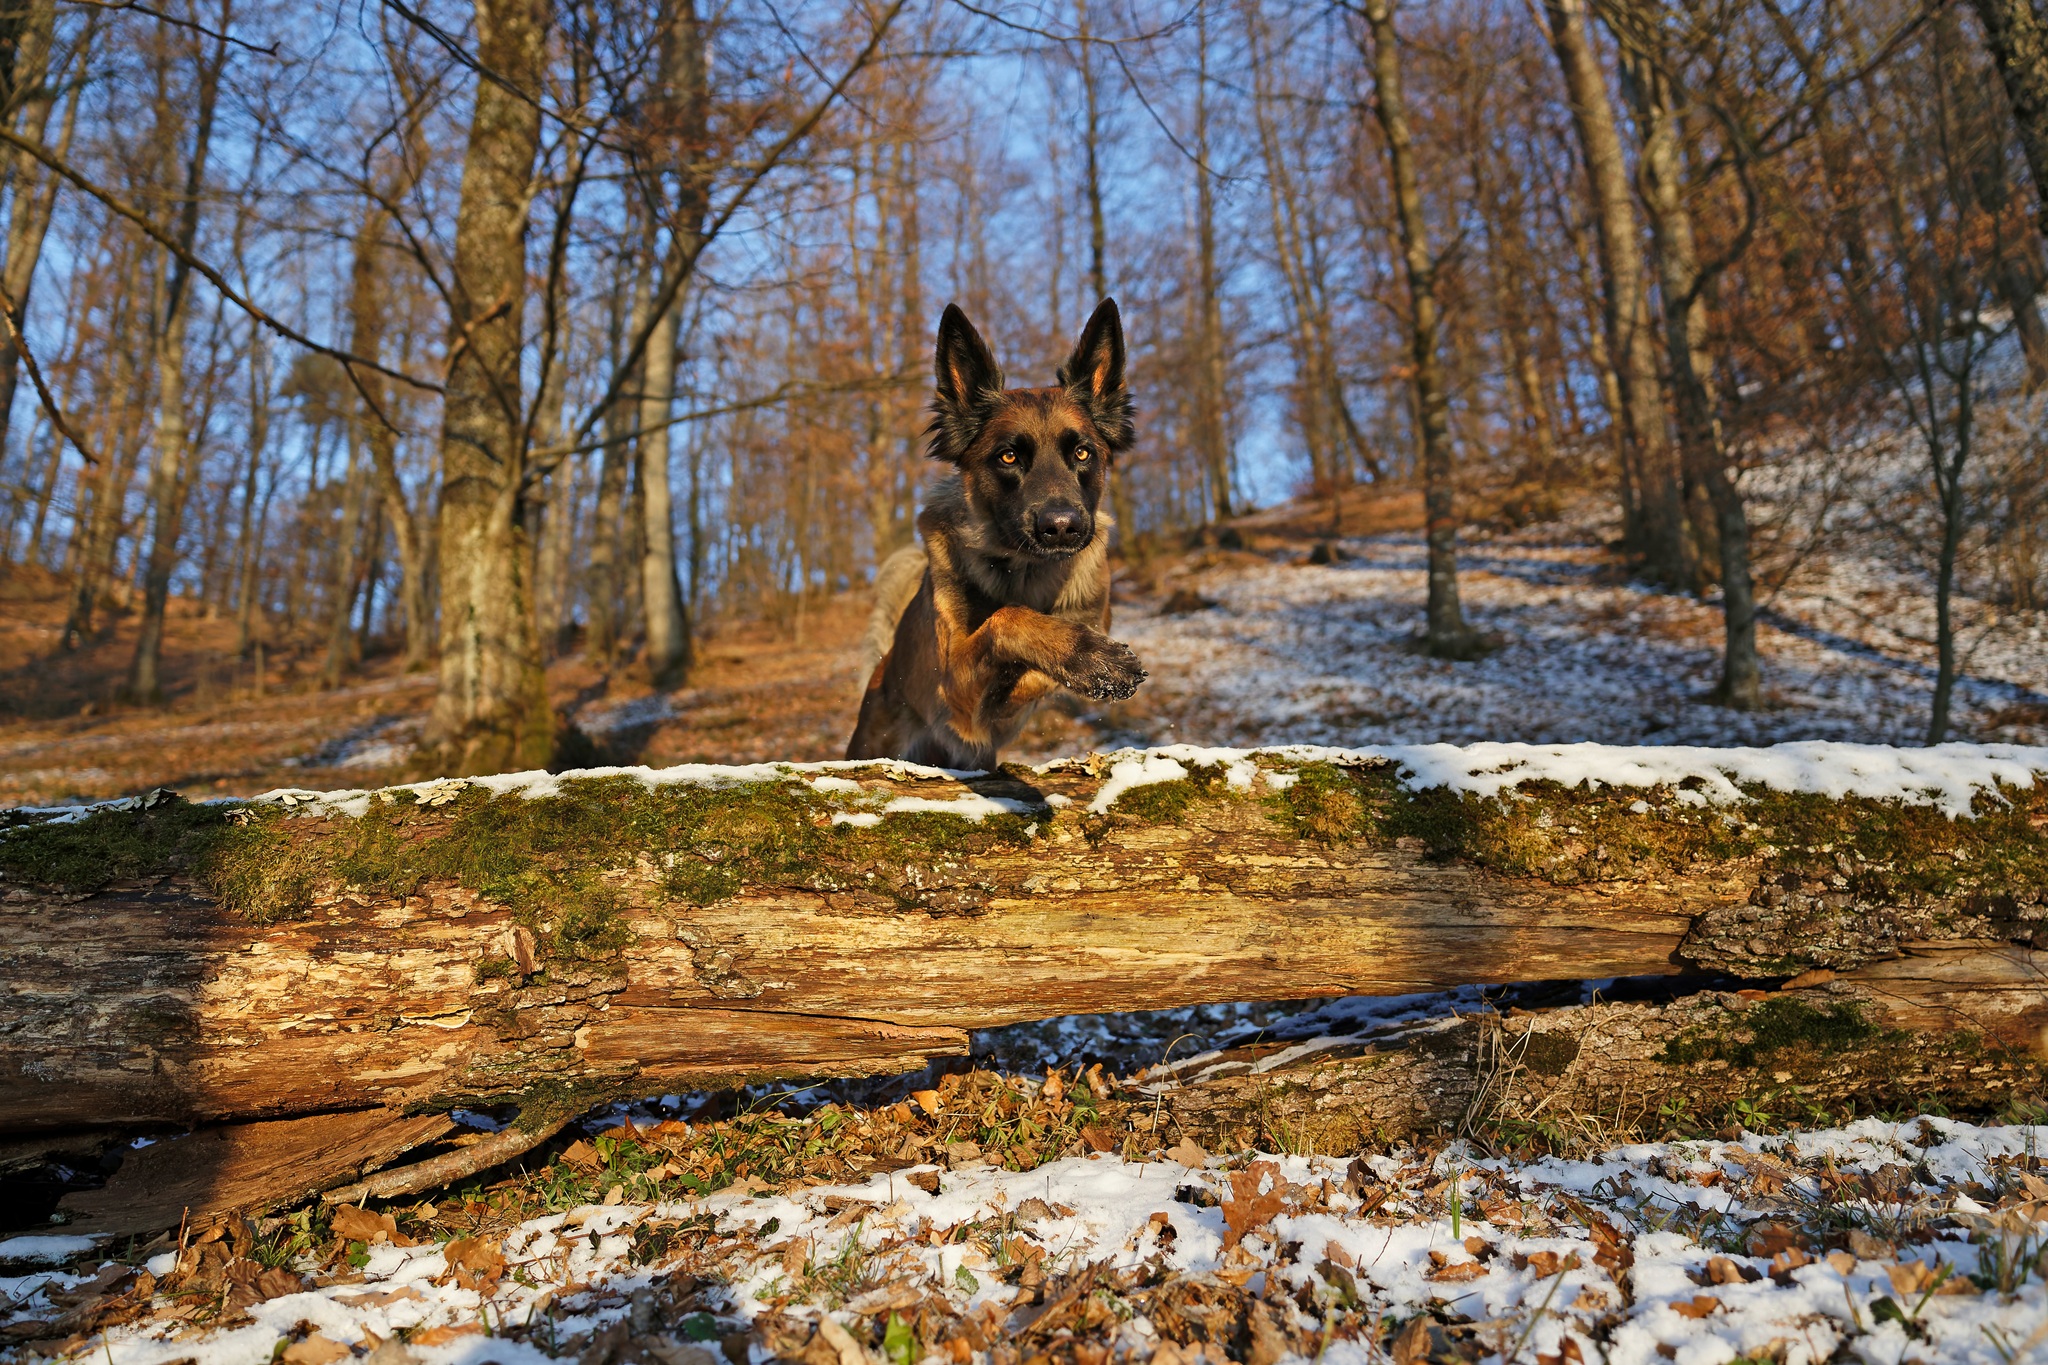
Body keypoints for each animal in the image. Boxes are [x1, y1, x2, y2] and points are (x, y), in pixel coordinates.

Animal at [845, 298, 1147, 769]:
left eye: (1083, 453)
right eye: (1008, 456)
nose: (1062, 527)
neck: (1024, 571)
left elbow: (1027, 667)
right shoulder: (954, 688)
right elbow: (1006, 619)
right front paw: (1092, 659)